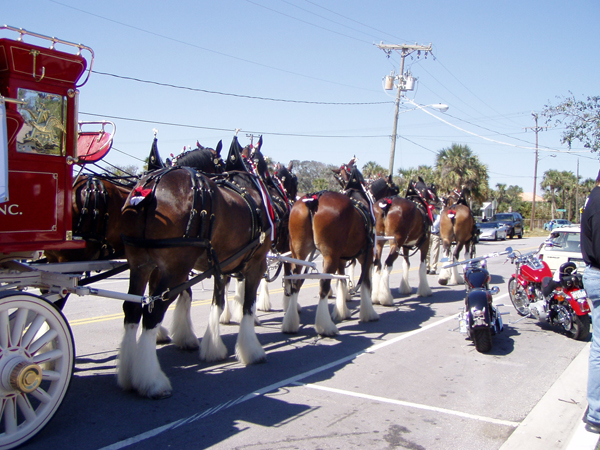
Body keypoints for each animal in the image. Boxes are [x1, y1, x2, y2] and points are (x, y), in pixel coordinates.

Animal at [118, 136, 272, 398]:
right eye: (263, 164)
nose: (273, 185)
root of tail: (151, 186)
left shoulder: (220, 265)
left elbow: (218, 302)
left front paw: (211, 346)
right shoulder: (256, 264)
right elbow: (247, 306)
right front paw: (251, 351)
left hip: (139, 264)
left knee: (132, 310)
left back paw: (129, 375)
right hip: (175, 269)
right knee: (151, 314)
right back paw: (152, 381)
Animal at [282, 162, 378, 334]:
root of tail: (313, 200)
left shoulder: (341, 259)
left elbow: (341, 281)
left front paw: (342, 311)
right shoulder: (365, 256)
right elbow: (365, 282)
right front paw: (368, 313)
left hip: (298, 254)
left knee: (295, 283)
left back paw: (290, 323)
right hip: (329, 257)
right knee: (323, 286)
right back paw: (325, 326)